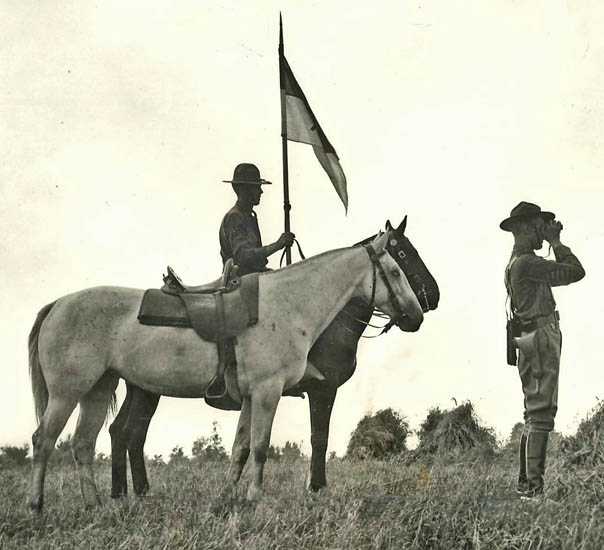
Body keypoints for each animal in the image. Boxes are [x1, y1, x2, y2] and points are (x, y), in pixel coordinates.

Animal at [28, 230, 422, 512]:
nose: (416, 315)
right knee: (44, 439)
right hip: (67, 393)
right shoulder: (268, 392)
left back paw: (96, 505)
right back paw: (37, 505)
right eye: (395, 268)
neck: (288, 305)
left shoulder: (249, 396)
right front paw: (254, 498)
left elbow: (240, 447)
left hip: (98, 390)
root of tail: (58, 304)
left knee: (84, 443)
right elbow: (262, 446)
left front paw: (227, 497)